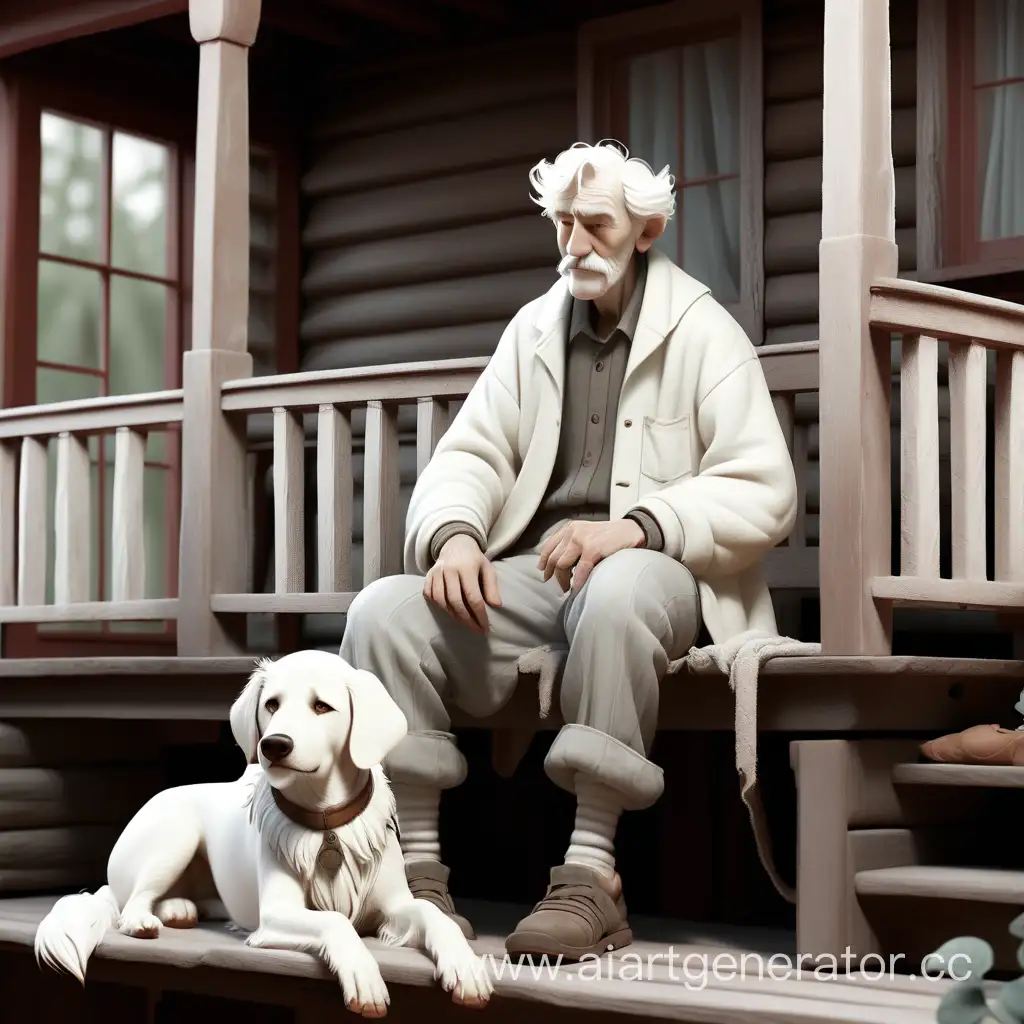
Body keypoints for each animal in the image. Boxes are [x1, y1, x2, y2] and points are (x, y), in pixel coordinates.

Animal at [32, 651, 491, 1011]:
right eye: (271, 704)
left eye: (322, 707)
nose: (274, 745)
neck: (326, 823)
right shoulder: (276, 914)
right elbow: (334, 921)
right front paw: (364, 974)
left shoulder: (395, 907)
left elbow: (435, 916)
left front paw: (466, 966)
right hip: (175, 837)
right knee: (130, 905)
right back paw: (148, 919)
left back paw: (179, 908)